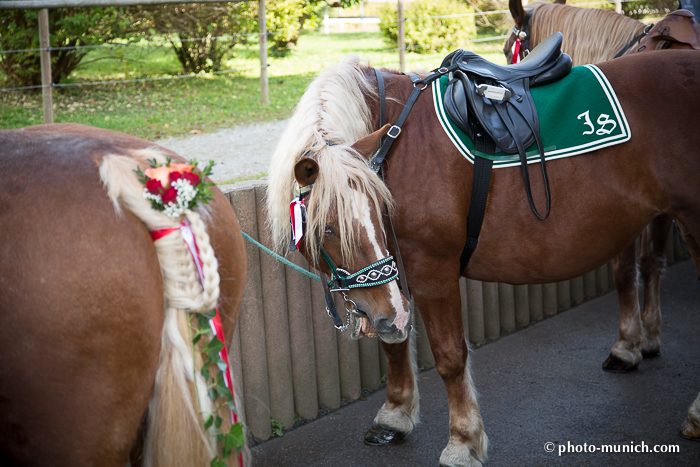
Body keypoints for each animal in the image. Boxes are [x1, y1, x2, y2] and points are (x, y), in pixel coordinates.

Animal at [264, 52, 700, 467]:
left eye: (377, 211)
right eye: (328, 229)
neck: (397, 140)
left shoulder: (432, 272)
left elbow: (449, 356)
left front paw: (463, 441)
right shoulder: (393, 280)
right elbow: (394, 342)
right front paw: (395, 414)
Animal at [504, 0, 700, 372]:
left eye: (510, 50)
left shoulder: (627, 202)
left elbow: (624, 271)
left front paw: (626, 345)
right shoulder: (663, 202)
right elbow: (652, 260)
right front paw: (649, 336)